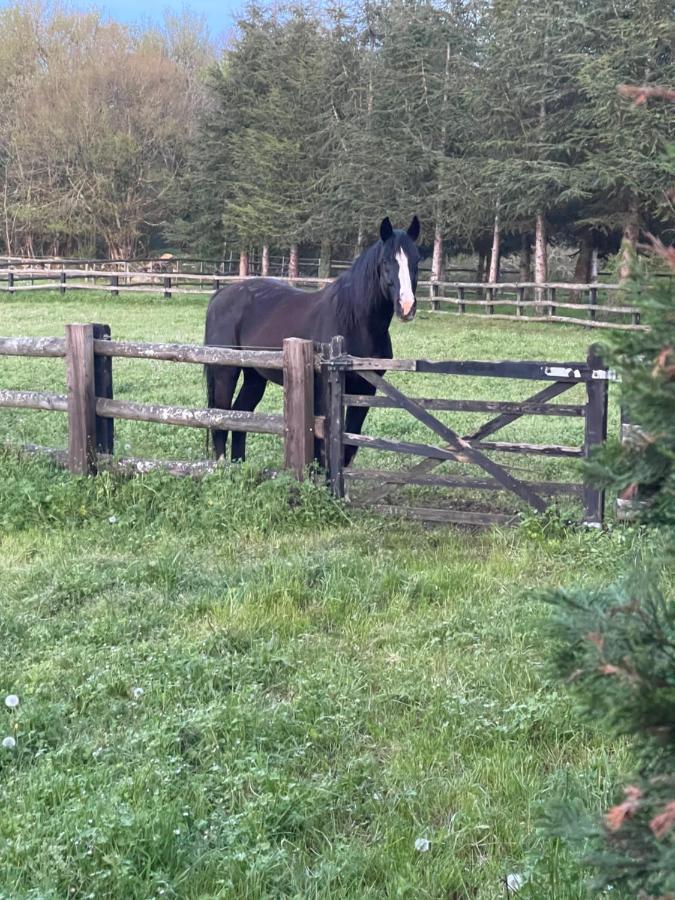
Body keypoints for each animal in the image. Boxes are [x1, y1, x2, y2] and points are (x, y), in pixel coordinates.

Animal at [203, 214, 420, 460]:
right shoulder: (324, 393)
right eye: (385, 262)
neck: (355, 322)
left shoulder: (365, 389)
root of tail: (220, 294)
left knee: (241, 416)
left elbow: (349, 447)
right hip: (225, 372)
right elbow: (322, 447)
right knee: (220, 418)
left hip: (255, 376)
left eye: (417, 260)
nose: (406, 307)